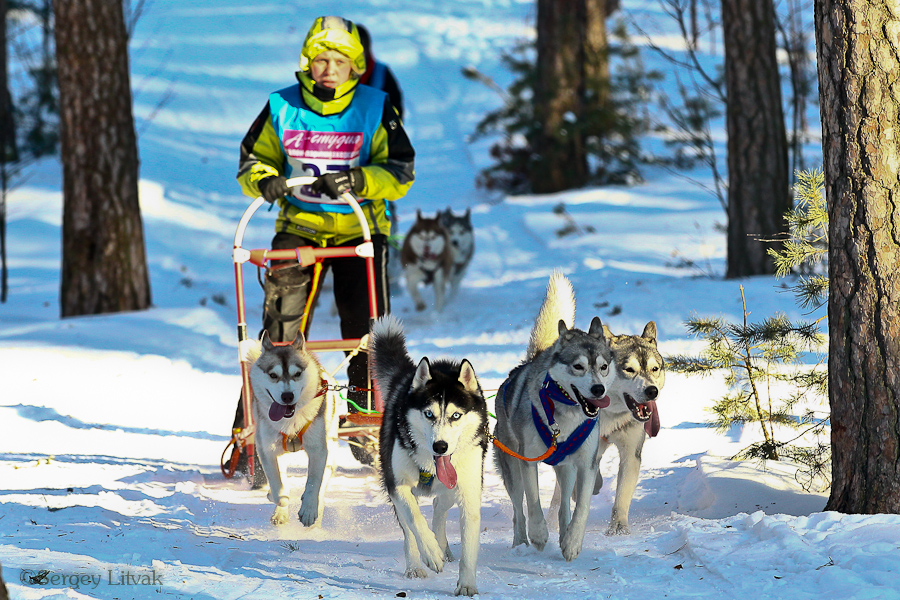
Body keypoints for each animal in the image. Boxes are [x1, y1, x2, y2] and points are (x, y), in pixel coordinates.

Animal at [247, 331, 339, 526]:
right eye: (273, 375)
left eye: (297, 373)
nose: (287, 396)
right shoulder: (267, 449)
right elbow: (278, 486)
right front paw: (277, 498)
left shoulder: (319, 450)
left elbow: (314, 483)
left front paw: (309, 509)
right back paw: (279, 512)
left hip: (331, 449)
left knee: (322, 484)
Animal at [370, 314, 488, 596]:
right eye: (429, 414)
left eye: (456, 415)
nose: (440, 447)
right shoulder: (398, 485)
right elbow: (415, 520)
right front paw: (431, 553)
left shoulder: (468, 491)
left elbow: (469, 543)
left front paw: (467, 585)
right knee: (409, 528)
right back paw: (417, 563)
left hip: (453, 487)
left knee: (439, 507)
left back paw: (443, 545)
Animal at [493, 272, 615, 561]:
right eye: (578, 366)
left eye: (603, 367)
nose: (599, 389)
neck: (566, 416)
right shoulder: (527, 461)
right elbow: (533, 502)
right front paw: (539, 534)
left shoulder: (587, 464)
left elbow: (581, 508)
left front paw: (572, 541)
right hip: (511, 466)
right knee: (518, 510)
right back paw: (521, 542)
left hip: (566, 468)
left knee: (563, 507)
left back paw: (564, 534)